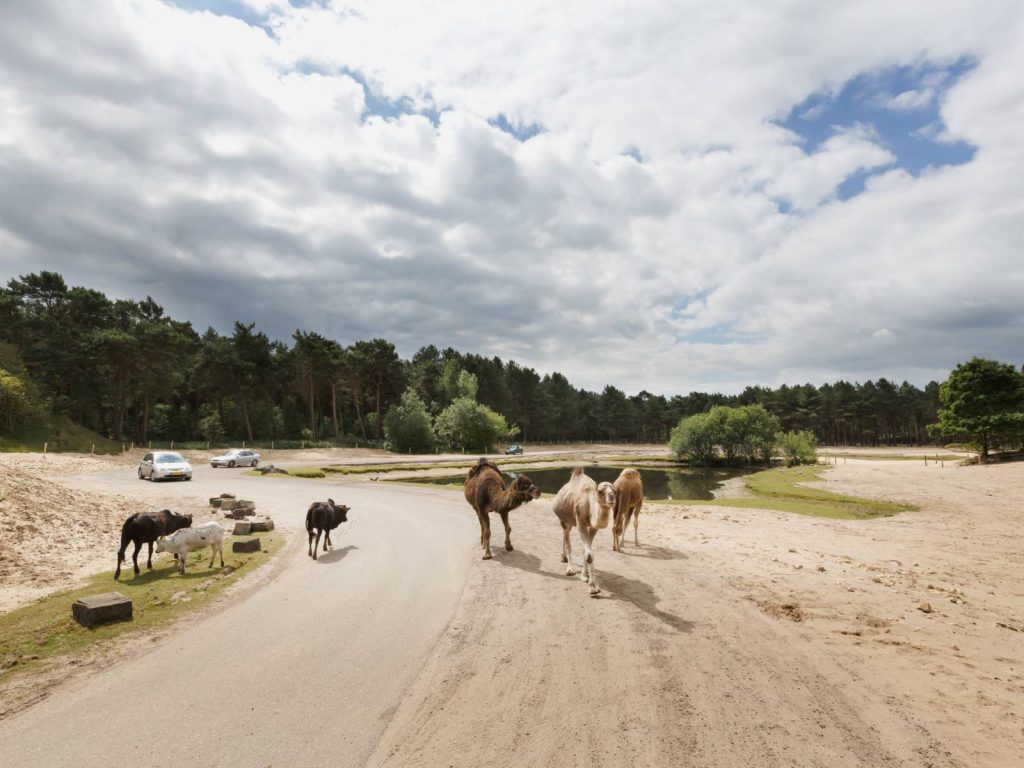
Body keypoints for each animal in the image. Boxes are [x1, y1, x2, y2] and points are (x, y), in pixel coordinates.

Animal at [552, 466, 614, 598]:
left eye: (615, 490)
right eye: (600, 491)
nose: (611, 497)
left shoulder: (593, 527)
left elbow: (586, 551)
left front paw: (585, 576)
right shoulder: (580, 522)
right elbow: (589, 555)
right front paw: (593, 588)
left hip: (569, 521)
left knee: (565, 536)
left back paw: (564, 558)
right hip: (564, 520)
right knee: (567, 540)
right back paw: (569, 569)